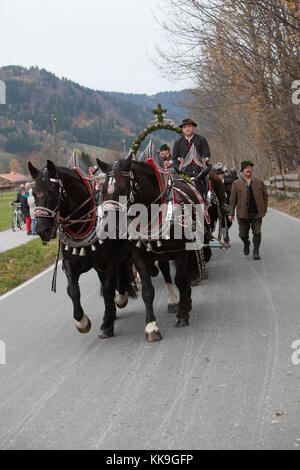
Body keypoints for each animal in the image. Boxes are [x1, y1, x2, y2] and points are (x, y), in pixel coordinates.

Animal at [27, 162, 135, 338]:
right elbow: (72, 290)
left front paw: (107, 324)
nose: (42, 230)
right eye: (34, 194)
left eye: (53, 191)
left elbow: (107, 289)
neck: (82, 225)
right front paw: (81, 321)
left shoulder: (109, 261)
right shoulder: (70, 263)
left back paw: (120, 298)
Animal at [97, 154, 210, 342]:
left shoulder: (181, 252)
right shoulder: (140, 255)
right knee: (165, 270)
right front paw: (151, 327)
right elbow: (148, 291)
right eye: (104, 190)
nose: (108, 226)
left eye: (122, 189)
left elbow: (181, 280)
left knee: (184, 276)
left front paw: (182, 315)